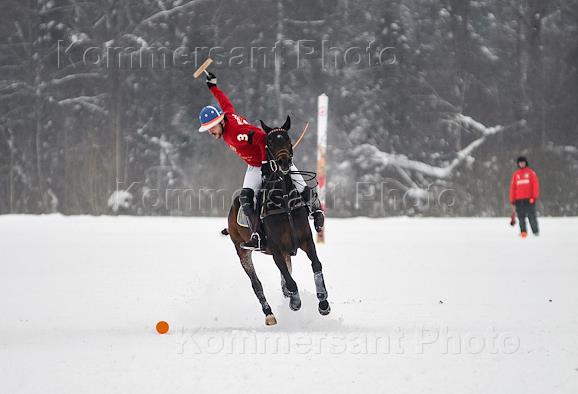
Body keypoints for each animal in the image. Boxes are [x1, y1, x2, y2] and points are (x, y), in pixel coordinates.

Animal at [222, 115, 328, 324]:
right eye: (269, 142)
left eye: (287, 138)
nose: (284, 162)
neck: (284, 200)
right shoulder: (277, 250)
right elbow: (289, 280)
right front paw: (295, 302)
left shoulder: (306, 241)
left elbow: (316, 265)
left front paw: (323, 302)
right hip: (242, 250)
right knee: (256, 284)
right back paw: (269, 313)